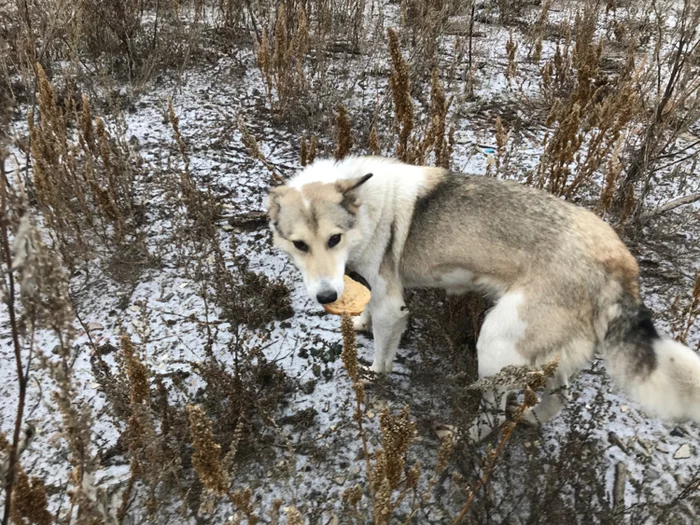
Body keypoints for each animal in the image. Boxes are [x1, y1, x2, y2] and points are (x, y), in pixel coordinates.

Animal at [266, 155, 700, 438]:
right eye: (300, 245)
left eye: (333, 239)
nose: (326, 296)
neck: (365, 207)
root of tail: (619, 261)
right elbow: (366, 313)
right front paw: (358, 322)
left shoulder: (393, 306)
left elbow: (381, 359)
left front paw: (373, 378)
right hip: (541, 352)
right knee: (558, 399)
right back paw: (529, 421)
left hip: (495, 345)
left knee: (492, 416)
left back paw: (459, 441)